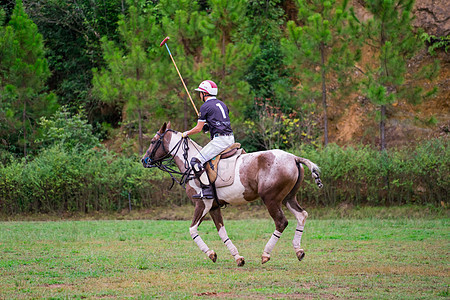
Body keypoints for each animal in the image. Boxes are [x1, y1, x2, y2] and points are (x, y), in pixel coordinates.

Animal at [142, 122, 322, 268]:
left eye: (153, 141)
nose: (144, 160)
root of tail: (294, 158)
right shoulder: (214, 206)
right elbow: (222, 232)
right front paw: (238, 258)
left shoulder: (202, 204)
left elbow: (192, 229)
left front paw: (211, 254)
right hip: (288, 198)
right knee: (302, 215)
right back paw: (298, 250)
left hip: (271, 199)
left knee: (281, 222)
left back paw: (266, 254)